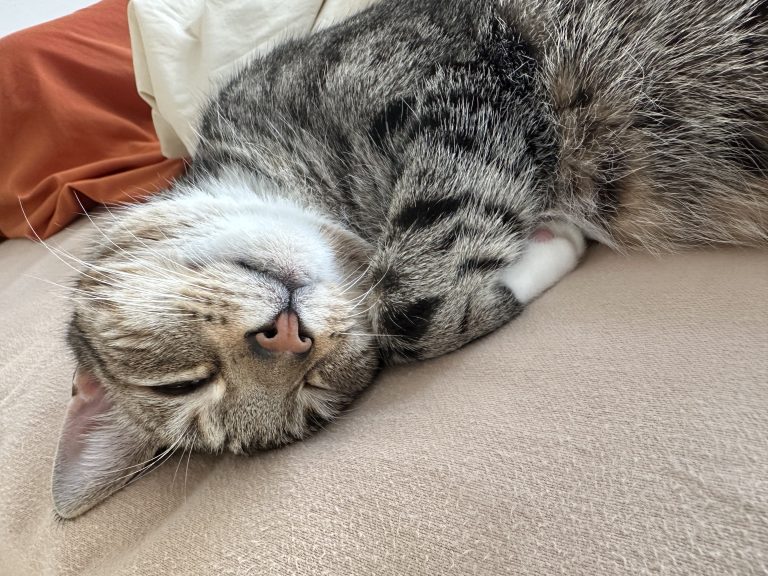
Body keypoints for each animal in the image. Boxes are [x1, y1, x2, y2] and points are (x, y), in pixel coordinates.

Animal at [51, 0, 764, 516]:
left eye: (178, 385)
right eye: (316, 396)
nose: (289, 338)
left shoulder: (458, 77)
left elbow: (406, 305)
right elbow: (413, 320)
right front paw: (547, 246)